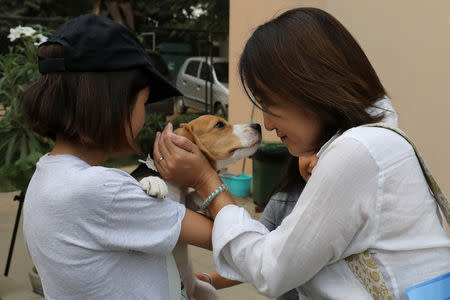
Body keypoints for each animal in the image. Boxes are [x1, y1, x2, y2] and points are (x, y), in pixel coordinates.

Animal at [134, 115, 260, 300]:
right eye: (219, 124)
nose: (258, 125)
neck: (176, 186)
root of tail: (190, 292)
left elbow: (192, 196)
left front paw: (204, 203)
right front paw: (153, 180)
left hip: (208, 290)